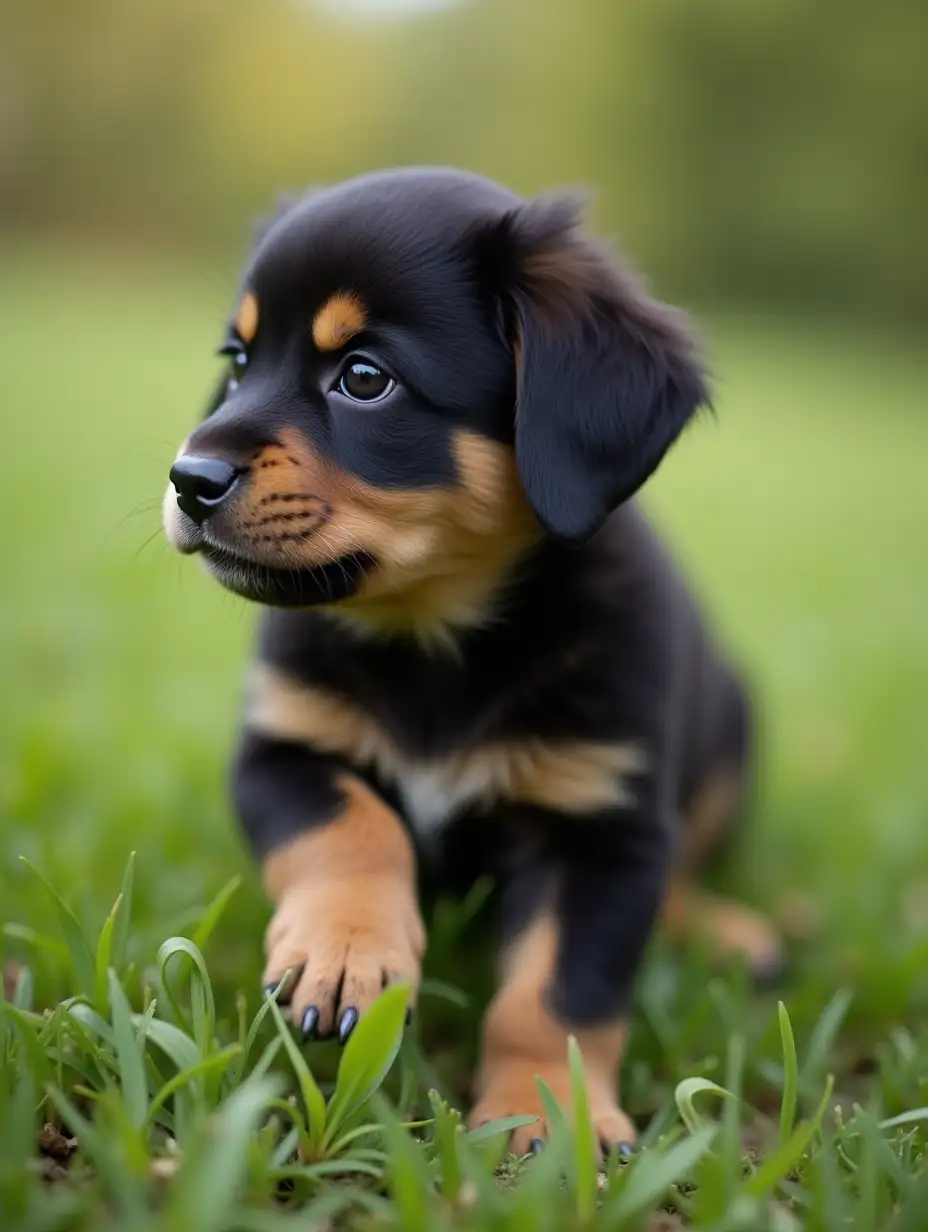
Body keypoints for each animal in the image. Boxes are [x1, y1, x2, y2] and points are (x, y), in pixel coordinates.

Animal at [162, 166, 778, 1153]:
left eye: (364, 378)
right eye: (239, 359)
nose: (188, 480)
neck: (433, 643)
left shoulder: (602, 827)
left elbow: (558, 992)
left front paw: (546, 1116)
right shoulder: (282, 750)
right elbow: (351, 827)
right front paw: (346, 951)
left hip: (728, 737)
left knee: (682, 864)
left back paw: (727, 931)